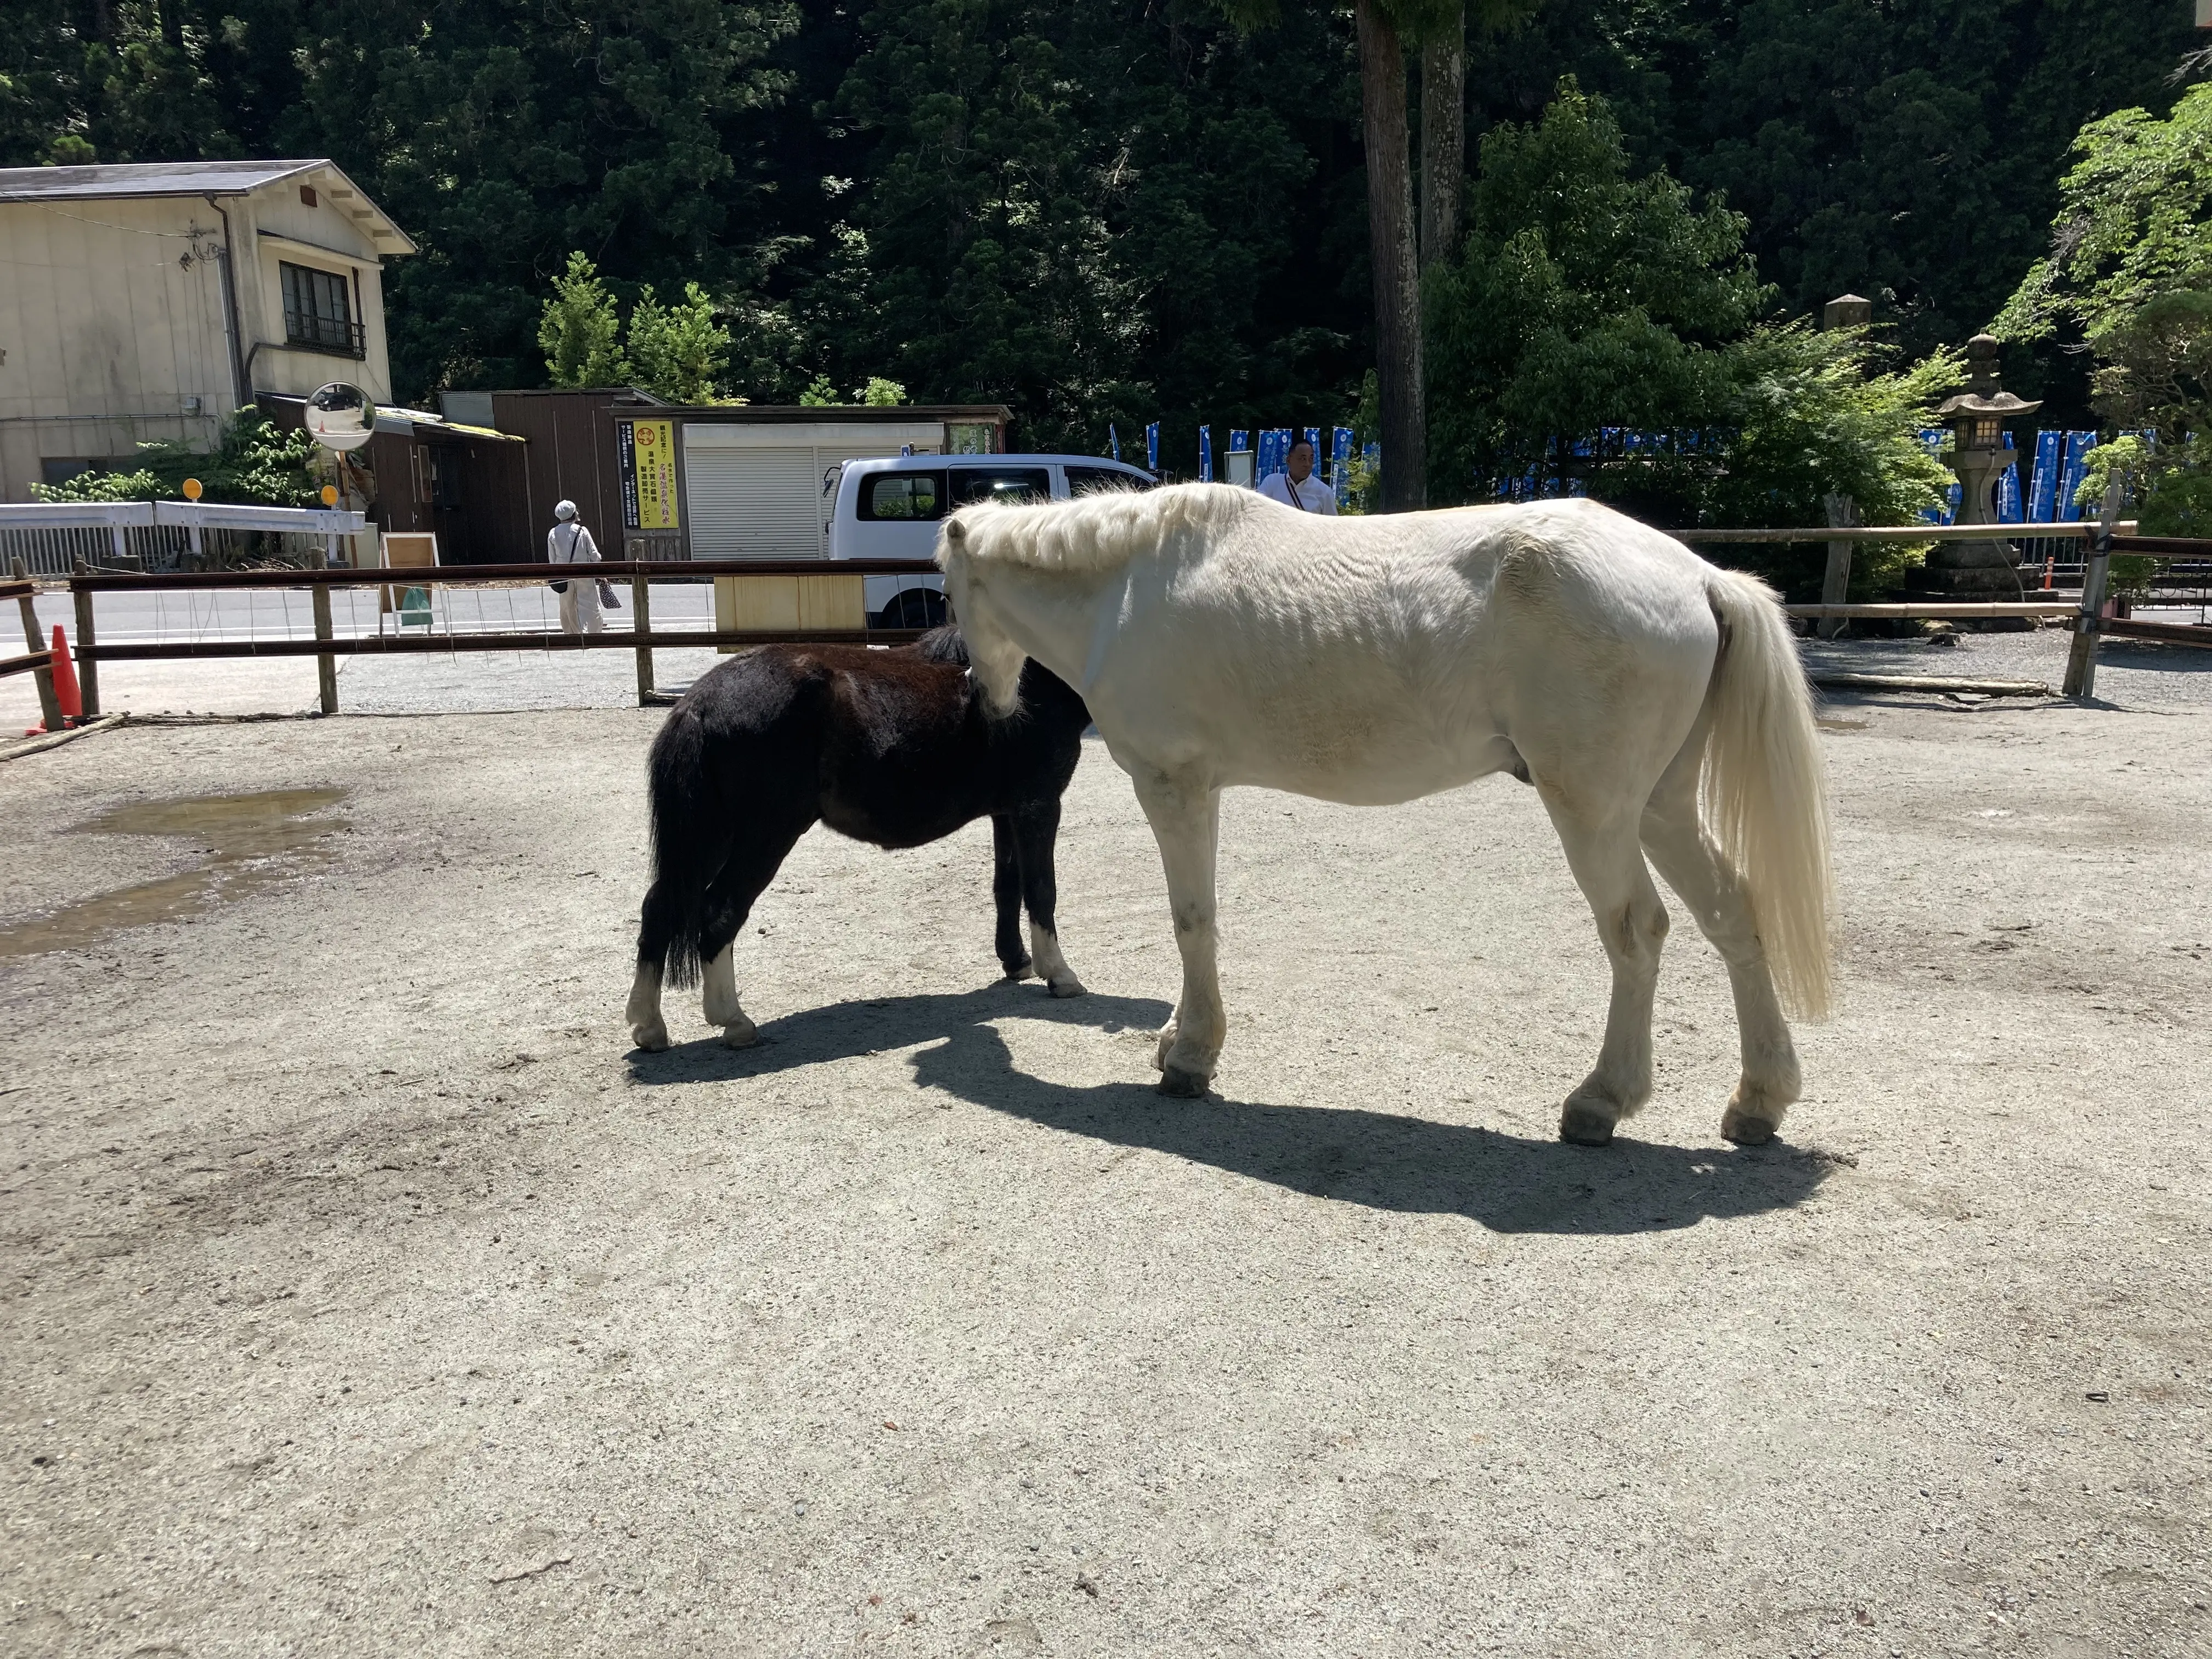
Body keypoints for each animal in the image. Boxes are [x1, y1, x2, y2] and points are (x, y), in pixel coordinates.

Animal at [628, 628, 1092, 1053]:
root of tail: (699, 704)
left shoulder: (1006, 811)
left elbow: (1008, 887)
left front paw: (1016, 961)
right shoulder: (1038, 805)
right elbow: (1042, 889)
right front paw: (1060, 974)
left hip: (709, 837)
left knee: (659, 907)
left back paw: (649, 1027)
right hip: (765, 835)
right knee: (719, 912)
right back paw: (734, 1021)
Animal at [933, 487, 1831, 1150]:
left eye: (946, 587)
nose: (988, 697)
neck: (1129, 587)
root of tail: (1698, 576)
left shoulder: (1173, 787)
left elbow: (1193, 922)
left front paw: (1189, 1057)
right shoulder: (1200, 791)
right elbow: (1203, 921)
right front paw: (1181, 1041)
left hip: (1597, 814)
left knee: (1637, 933)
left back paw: (1599, 1103)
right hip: (1660, 809)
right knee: (1733, 916)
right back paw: (1759, 1101)